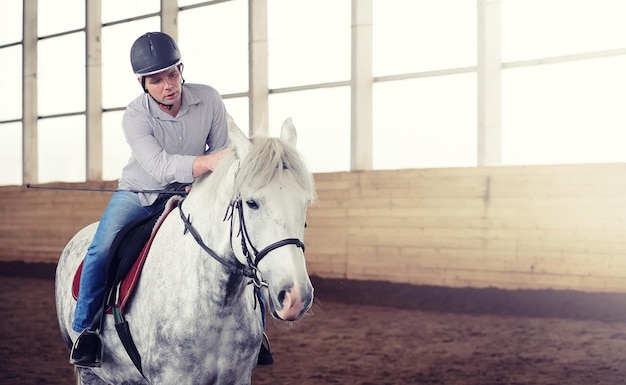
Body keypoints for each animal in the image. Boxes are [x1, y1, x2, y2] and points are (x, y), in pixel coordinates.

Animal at [55, 117, 314, 384]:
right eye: (252, 203)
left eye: (305, 203)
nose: (295, 298)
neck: (216, 302)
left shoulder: (238, 378)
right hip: (89, 372)